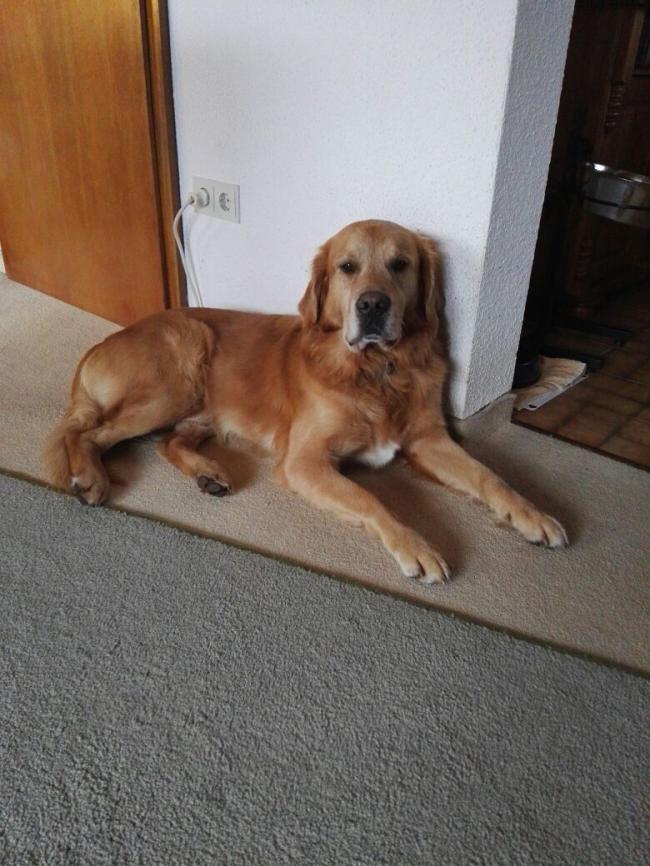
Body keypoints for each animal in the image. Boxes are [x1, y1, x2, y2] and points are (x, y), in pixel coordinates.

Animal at [44, 219, 568, 582]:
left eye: (400, 264)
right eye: (347, 267)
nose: (372, 305)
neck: (376, 370)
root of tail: (105, 341)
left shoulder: (429, 440)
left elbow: (490, 477)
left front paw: (533, 515)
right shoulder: (305, 460)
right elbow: (372, 499)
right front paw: (416, 546)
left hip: (197, 409)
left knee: (165, 442)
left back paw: (209, 473)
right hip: (177, 373)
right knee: (86, 431)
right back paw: (90, 477)